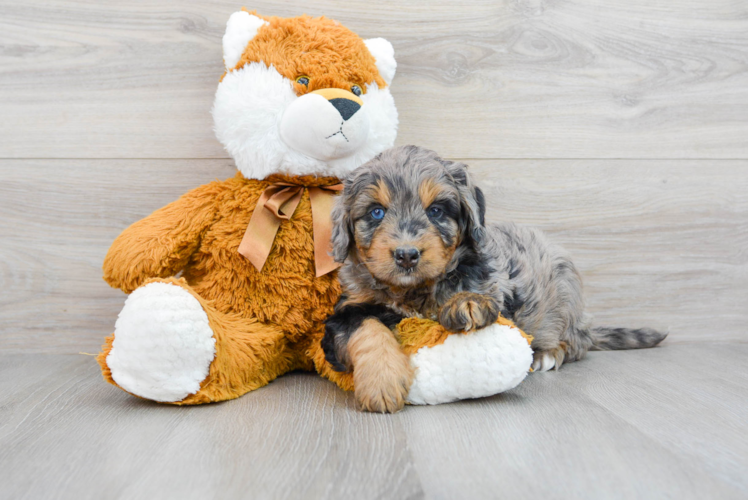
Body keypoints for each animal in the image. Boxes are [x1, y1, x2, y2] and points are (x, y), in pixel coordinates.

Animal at [322, 144, 668, 410]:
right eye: (376, 212)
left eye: (436, 211)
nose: (407, 255)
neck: (413, 291)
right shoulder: (345, 311)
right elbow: (367, 327)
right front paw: (381, 382)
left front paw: (466, 303)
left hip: (565, 291)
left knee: (576, 343)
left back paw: (548, 354)